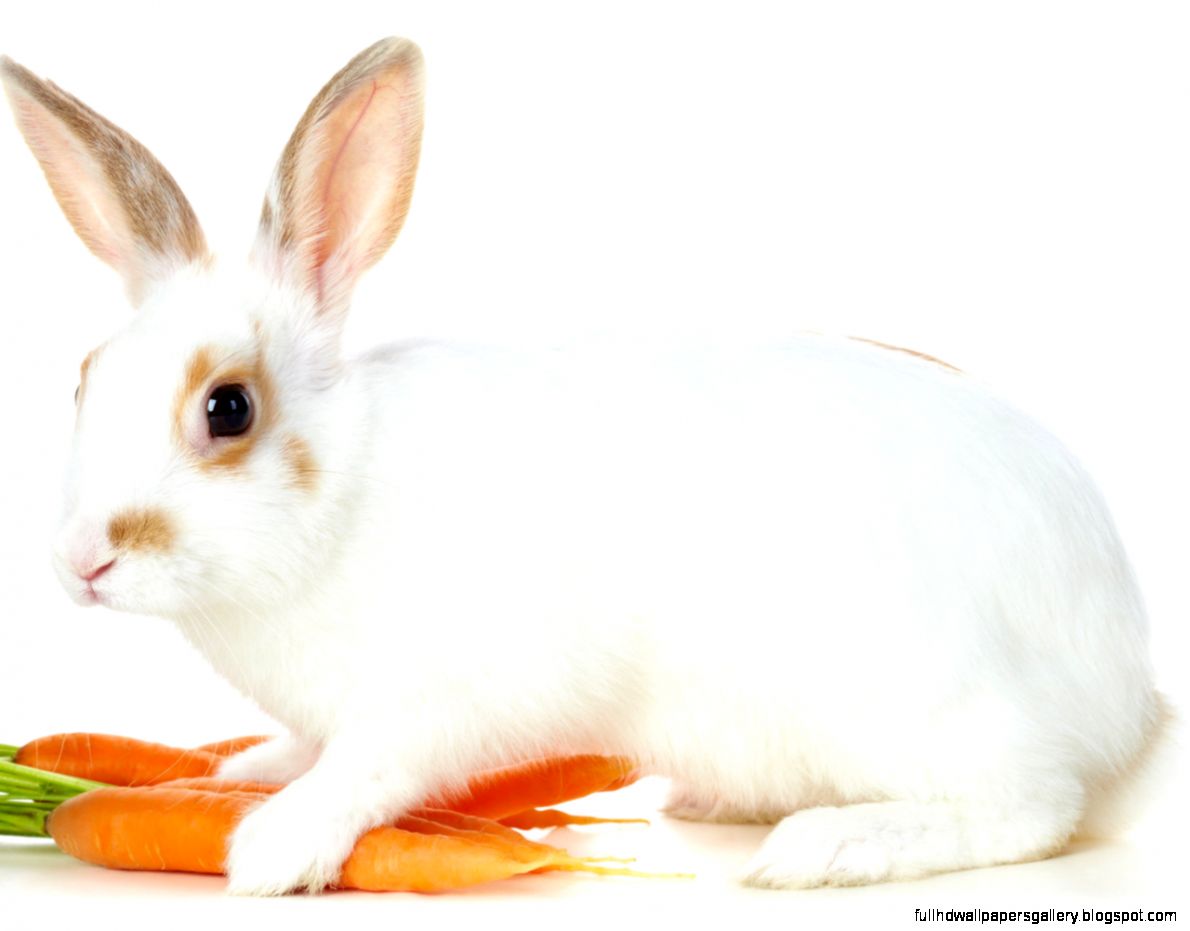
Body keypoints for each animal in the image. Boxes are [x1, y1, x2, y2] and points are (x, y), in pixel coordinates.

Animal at [1, 37, 1171, 896]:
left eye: (228, 408)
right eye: (85, 376)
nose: (81, 562)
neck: (343, 498)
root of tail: (1124, 689)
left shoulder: (445, 692)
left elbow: (375, 764)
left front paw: (274, 845)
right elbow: (307, 744)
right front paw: (243, 770)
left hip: (922, 696)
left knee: (1031, 808)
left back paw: (823, 846)